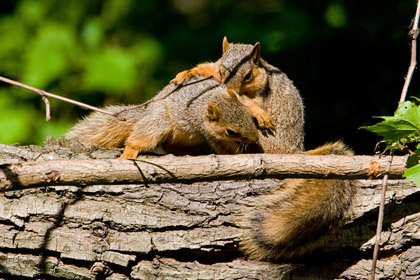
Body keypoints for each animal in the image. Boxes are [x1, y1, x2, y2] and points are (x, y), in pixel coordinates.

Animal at [65, 77, 260, 159]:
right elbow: (224, 148)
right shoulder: (209, 133)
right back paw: (129, 152)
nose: (255, 138)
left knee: (169, 145)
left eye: (250, 116)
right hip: (161, 122)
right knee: (143, 137)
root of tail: (148, 112)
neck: (210, 99)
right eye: (230, 131)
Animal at [171, 37, 358, 260]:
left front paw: (255, 110)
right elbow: (208, 69)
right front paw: (188, 72)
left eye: (248, 75)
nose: (229, 89)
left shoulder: (261, 94)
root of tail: (291, 152)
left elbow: (251, 103)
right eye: (223, 69)